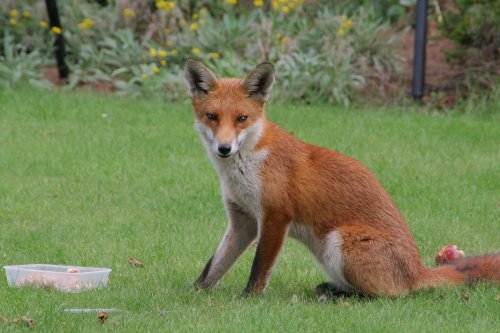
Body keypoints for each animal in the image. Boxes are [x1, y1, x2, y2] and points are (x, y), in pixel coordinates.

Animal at [184, 58, 500, 296]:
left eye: (241, 119)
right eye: (212, 117)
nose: (224, 148)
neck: (244, 166)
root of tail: (417, 271)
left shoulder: (276, 216)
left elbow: (259, 268)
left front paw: (248, 299)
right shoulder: (244, 221)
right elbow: (214, 266)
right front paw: (192, 294)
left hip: (339, 242)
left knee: (391, 296)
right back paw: (332, 289)